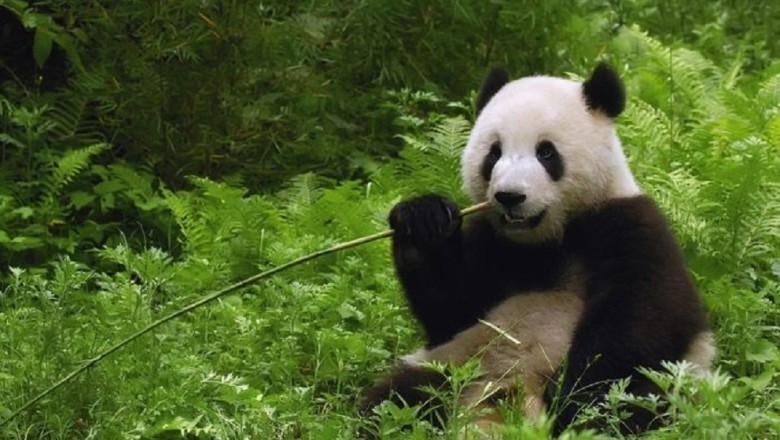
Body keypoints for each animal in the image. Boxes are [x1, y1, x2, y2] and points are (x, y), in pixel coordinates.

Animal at [360, 64, 715, 436]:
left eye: (546, 152)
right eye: (494, 153)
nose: (509, 196)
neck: (547, 240)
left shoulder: (630, 227)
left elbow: (641, 317)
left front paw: (570, 394)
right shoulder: (491, 242)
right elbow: (450, 310)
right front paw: (423, 221)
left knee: (632, 402)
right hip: (456, 363)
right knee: (398, 399)